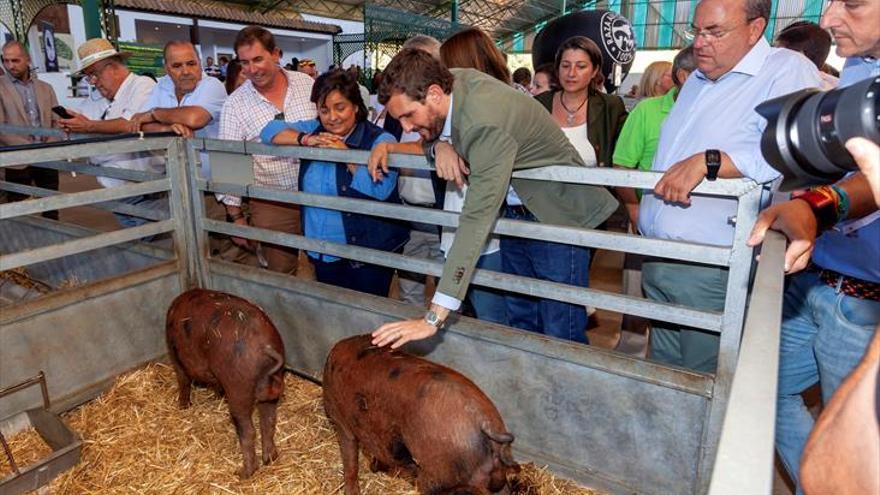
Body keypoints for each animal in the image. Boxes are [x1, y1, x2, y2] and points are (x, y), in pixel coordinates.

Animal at [165, 290, 286, 480]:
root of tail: (266, 348)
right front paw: (215, 396)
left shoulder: (176, 357)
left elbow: (183, 381)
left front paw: (183, 406)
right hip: (269, 390)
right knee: (269, 421)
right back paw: (270, 459)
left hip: (238, 388)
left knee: (248, 431)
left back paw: (242, 474)